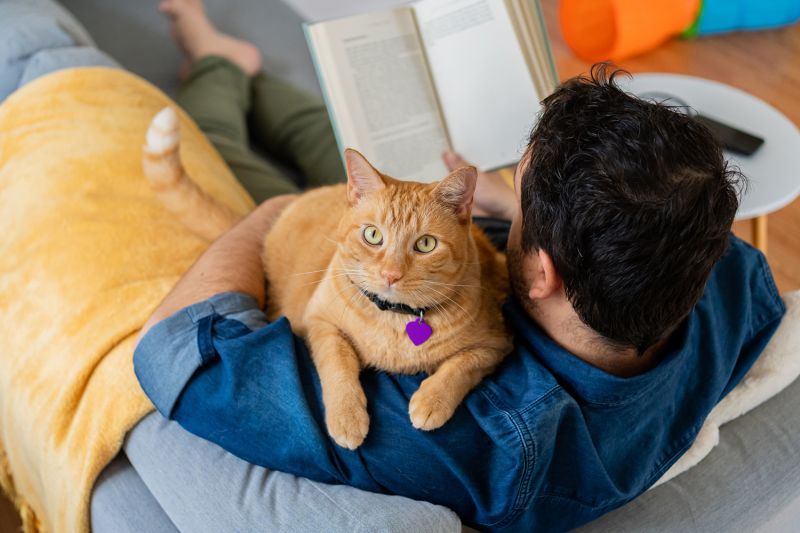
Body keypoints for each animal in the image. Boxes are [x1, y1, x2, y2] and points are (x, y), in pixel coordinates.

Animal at [143, 106, 510, 446]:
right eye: (373, 235)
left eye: (426, 244)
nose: (390, 274)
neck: (394, 320)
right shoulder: (319, 321)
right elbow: (337, 364)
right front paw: (347, 416)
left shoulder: (496, 345)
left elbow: (462, 365)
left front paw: (431, 400)